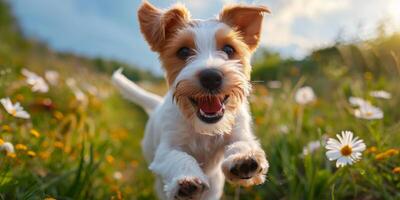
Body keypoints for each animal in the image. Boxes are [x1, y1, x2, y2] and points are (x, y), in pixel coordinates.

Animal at [111, 0, 270, 199]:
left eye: (228, 49)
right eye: (183, 51)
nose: (211, 77)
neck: (203, 129)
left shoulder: (239, 131)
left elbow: (242, 143)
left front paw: (244, 158)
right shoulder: (166, 151)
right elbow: (179, 157)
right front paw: (186, 181)